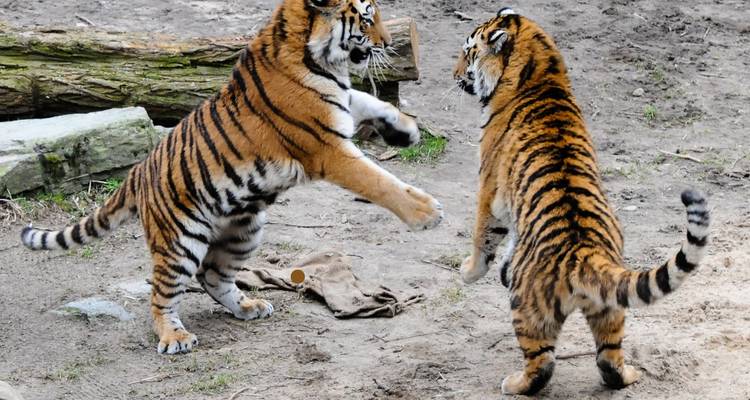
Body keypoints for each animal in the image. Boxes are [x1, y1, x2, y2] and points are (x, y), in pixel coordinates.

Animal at [20, 0, 444, 355]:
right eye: (367, 18)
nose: (388, 43)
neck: (322, 62)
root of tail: (138, 170)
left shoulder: (340, 106)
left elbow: (372, 101)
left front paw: (405, 129)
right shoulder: (328, 149)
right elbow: (379, 180)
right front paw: (427, 213)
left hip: (244, 229)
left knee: (212, 276)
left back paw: (249, 306)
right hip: (181, 240)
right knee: (161, 293)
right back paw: (175, 337)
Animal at [453, 8, 711, 395]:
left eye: (468, 52)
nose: (454, 75)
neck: (541, 70)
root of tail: (584, 253)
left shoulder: (489, 187)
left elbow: (483, 233)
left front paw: (469, 271)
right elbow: (512, 236)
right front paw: (503, 267)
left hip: (528, 309)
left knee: (541, 363)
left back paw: (514, 384)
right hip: (610, 309)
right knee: (609, 356)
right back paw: (628, 375)